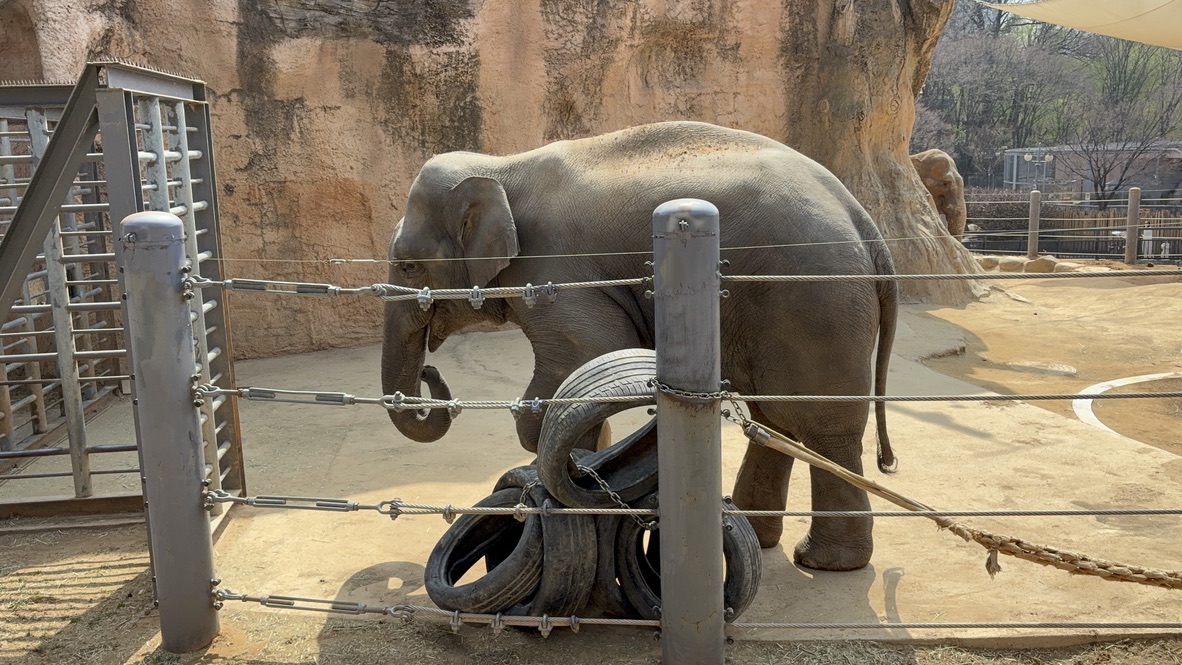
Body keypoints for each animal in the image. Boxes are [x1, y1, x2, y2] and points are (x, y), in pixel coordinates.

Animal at [382, 121, 898, 572]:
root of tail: (865, 222)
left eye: (407, 266)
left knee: (823, 426)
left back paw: (825, 562)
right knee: (775, 417)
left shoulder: (554, 270)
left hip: (815, 301)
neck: (502, 167)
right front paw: (593, 452)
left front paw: (576, 456)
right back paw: (754, 532)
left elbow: (586, 354)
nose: (429, 374)